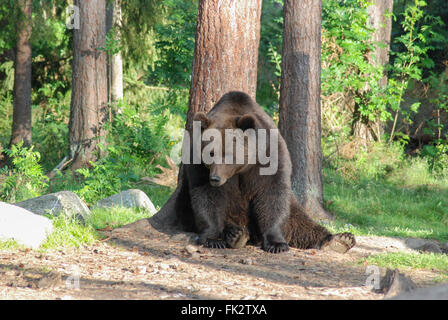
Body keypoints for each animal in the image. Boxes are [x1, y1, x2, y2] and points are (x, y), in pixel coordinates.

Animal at [180, 91, 356, 254]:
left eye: (229, 154)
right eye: (210, 153)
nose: (215, 178)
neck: (243, 167)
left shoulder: (269, 157)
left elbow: (271, 196)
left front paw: (276, 244)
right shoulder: (198, 164)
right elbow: (207, 197)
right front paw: (213, 239)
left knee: (300, 221)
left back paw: (340, 240)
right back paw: (236, 235)